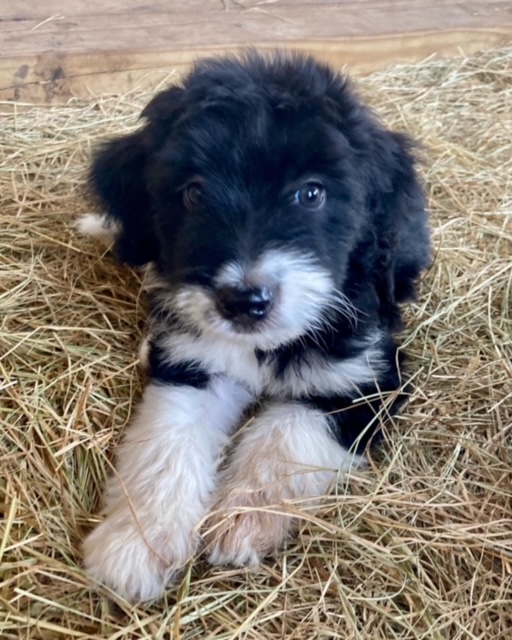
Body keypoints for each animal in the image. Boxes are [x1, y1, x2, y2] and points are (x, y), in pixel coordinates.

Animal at [79, 51, 431, 602]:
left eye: (312, 193)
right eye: (193, 193)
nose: (244, 300)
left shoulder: (363, 378)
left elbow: (286, 435)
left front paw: (242, 521)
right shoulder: (195, 363)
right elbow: (166, 440)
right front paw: (135, 543)